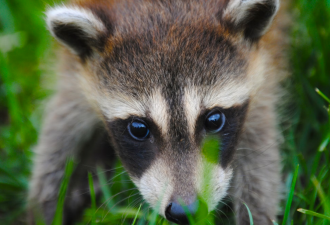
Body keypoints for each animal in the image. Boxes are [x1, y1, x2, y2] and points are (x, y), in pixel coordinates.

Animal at [29, 0, 290, 224]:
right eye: (138, 128)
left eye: (214, 120)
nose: (186, 211)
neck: (160, 7)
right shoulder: (77, 71)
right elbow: (60, 131)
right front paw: (46, 209)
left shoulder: (260, 68)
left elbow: (260, 156)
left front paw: (256, 215)